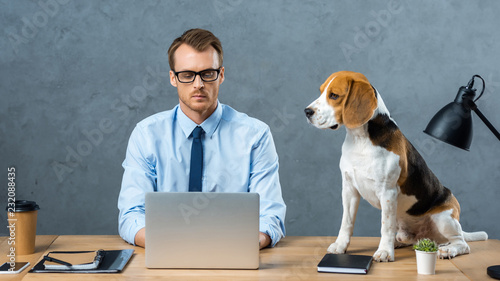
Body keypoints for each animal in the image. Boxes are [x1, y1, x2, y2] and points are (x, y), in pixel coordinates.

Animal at [304, 70, 488, 260]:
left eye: (334, 95)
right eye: (321, 91)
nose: (307, 111)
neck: (360, 139)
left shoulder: (387, 192)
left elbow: (385, 226)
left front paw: (385, 251)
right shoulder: (349, 189)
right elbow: (346, 223)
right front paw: (340, 246)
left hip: (444, 219)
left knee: (462, 244)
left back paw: (448, 249)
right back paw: (400, 243)